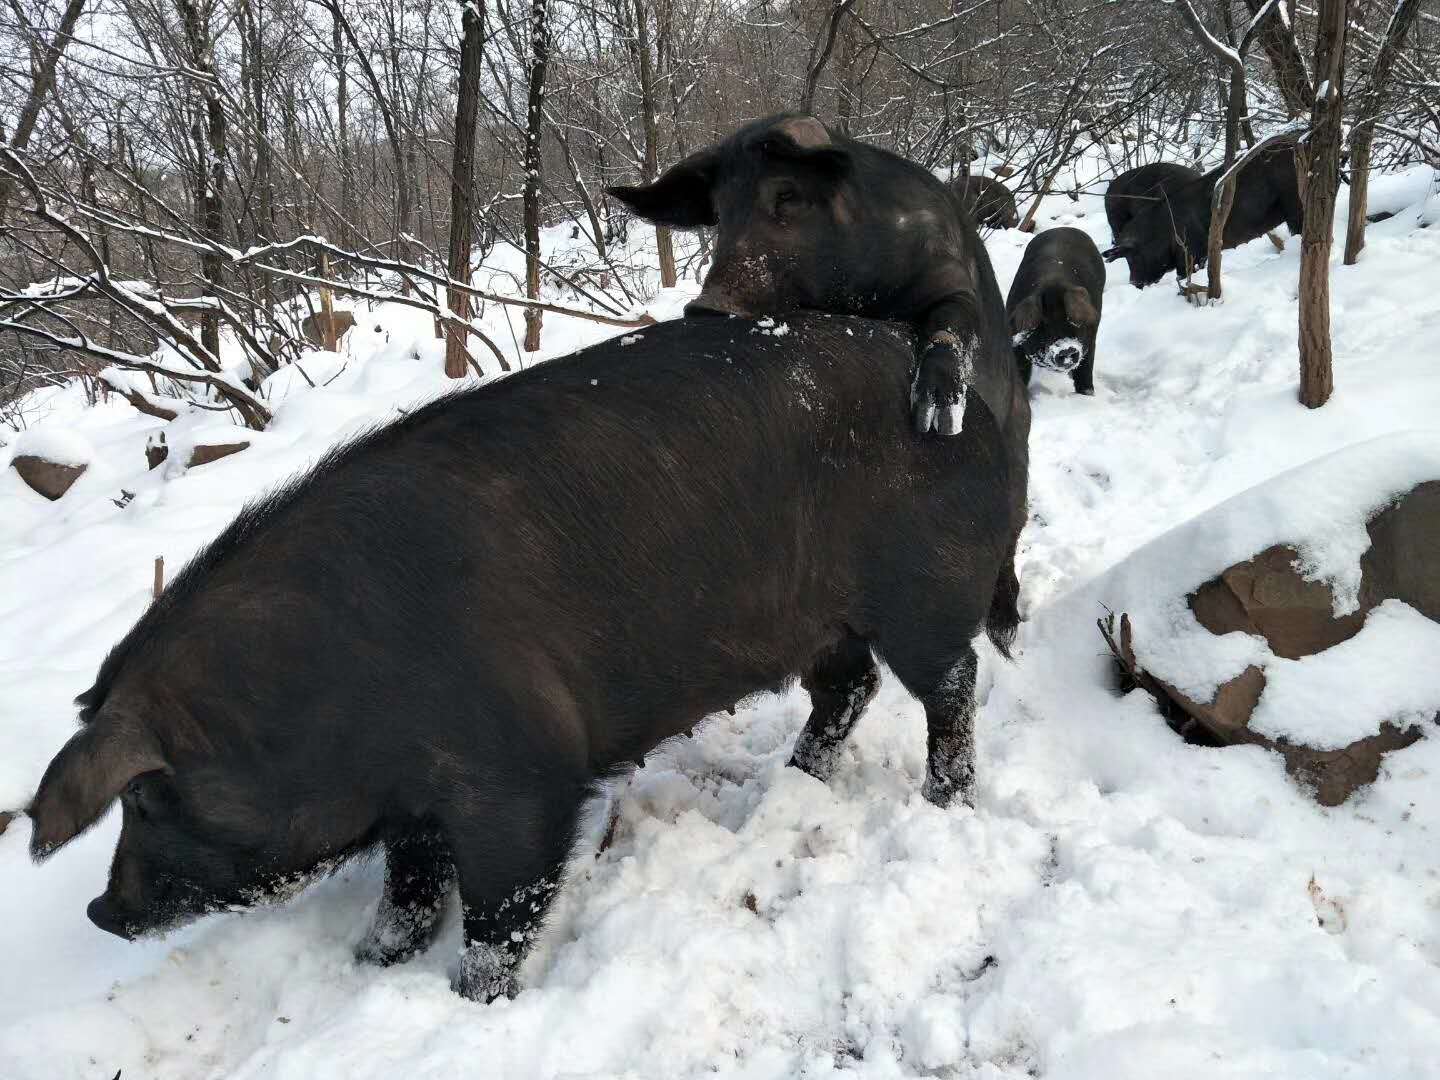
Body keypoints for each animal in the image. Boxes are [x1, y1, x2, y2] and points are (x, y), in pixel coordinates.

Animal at [22, 312, 1013, 1008]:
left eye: (145, 798)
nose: (101, 912)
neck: (321, 692)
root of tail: (980, 409)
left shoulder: (518, 771)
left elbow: (501, 904)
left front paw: (469, 1004)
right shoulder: (412, 801)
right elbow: (412, 890)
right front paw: (371, 963)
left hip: (922, 596)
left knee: (951, 682)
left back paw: (944, 798)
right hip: (822, 625)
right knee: (851, 685)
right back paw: (797, 780)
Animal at [1008, 228, 1105, 397]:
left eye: (1070, 319)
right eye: (1043, 324)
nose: (1067, 348)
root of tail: (1061, 228)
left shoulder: (1091, 336)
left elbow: (1085, 370)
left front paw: (1087, 395)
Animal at [1100, 141, 1307, 289]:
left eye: (1132, 257)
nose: (1134, 283)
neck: (1162, 233)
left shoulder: (1192, 251)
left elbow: (1186, 273)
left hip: (1293, 201)